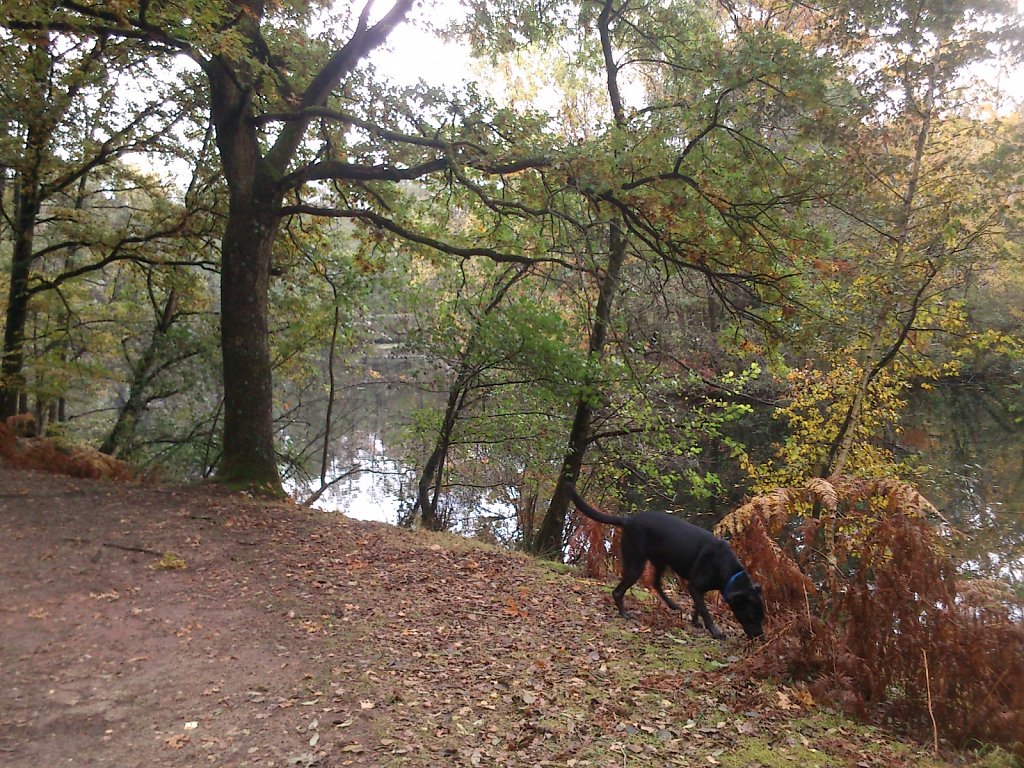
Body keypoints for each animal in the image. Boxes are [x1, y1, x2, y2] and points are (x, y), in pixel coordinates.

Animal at [569, 487, 761, 638]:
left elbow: (699, 607)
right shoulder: (695, 586)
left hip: (661, 561)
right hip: (636, 563)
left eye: (762, 616)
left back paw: (672, 604)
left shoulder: (698, 588)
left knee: (655, 583)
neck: (728, 572)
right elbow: (705, 611)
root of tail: (629, 520)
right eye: (751, 617)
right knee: (618, 591)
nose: (761, 637)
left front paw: (695, 622)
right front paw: (715, 632)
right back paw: (624, 613)